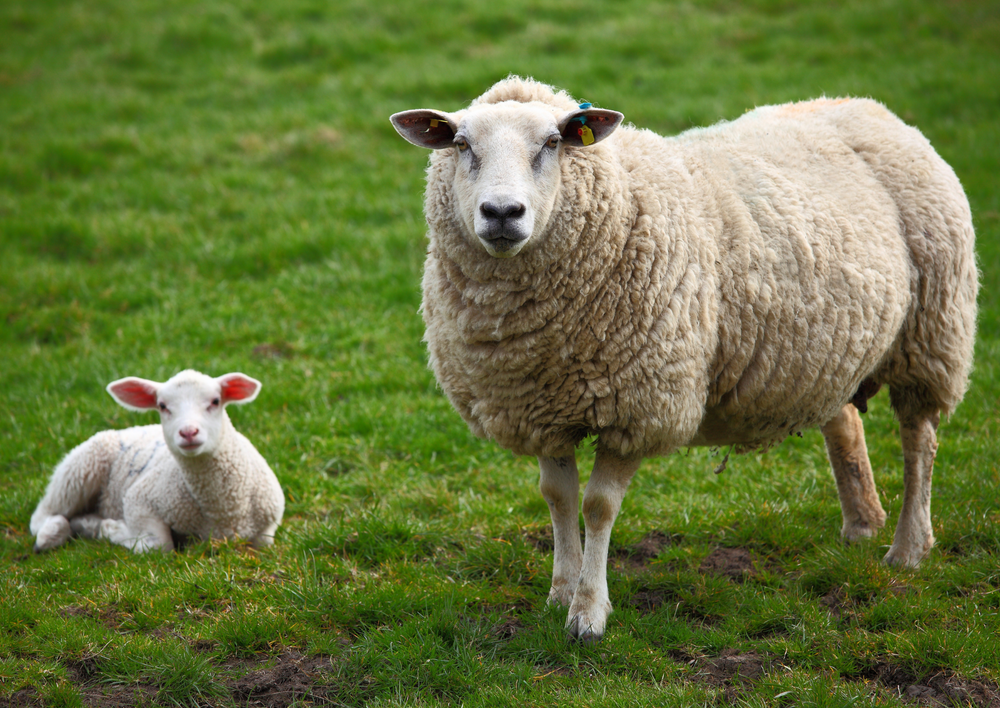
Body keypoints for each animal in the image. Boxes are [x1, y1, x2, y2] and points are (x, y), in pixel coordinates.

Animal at [30, 370, 284, 554]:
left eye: (215, 401)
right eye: (162, 406)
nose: (188, 432)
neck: (224, 509)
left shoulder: (267, 530)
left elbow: (264, 544)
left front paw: (104, 527)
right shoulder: (139, 499)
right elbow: (159, 545)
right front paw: (114, 530)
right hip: (78, 470)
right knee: (42, 514)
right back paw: (52, 533)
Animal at [390, 76, 979, 642]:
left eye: (553, 143)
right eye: (461, 144)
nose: (502, 213)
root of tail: (869, 107)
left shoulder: (637, 407)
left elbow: (597, 506)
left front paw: (588, 615)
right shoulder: (541, 406)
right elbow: (557, 498)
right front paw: (560, 592)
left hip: (931, 334)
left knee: (919, 441)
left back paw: (907, 548)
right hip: (826, 349)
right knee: (845, 423)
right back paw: (861, 525)